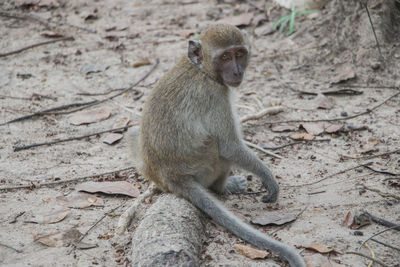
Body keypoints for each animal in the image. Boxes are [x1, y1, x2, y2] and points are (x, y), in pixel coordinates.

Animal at [130, 24, 304, 266]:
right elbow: (229, 146)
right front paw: (267, 176)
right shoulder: (215, 95)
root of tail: (171, 178)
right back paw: (222, 187)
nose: (237, 71)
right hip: (204, 167)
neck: (202, 70)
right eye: (224, 57)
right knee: (217, 149)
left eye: (239, 53)